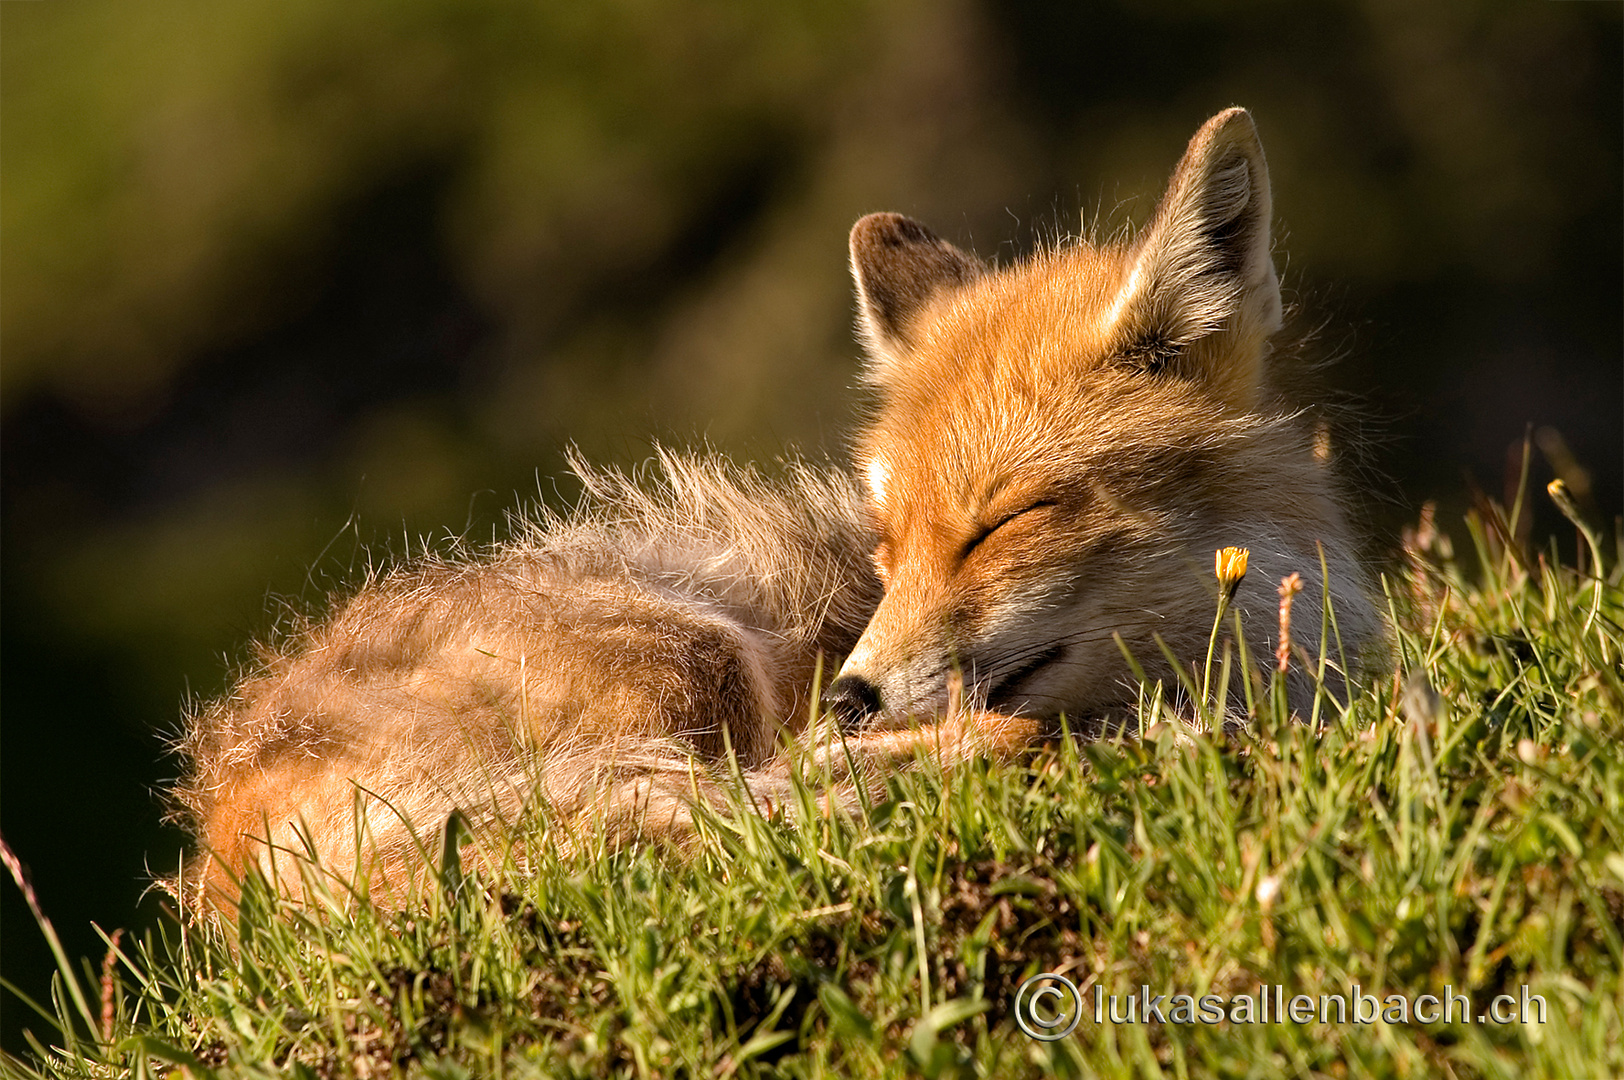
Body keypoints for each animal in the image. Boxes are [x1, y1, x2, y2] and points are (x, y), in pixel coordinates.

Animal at [177, 105, 1377, 902]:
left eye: (997, 526)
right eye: (888, 548)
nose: (848, 694)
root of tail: (219, 826)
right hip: (686, 655)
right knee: (757, 809)